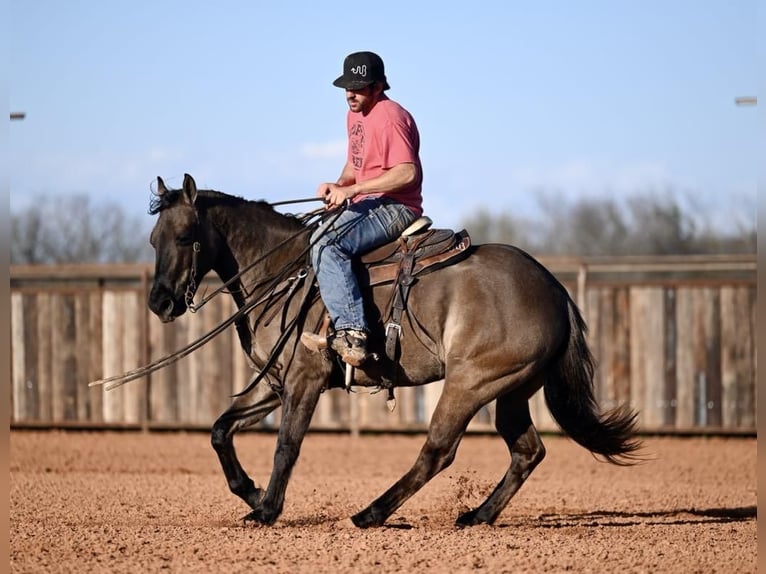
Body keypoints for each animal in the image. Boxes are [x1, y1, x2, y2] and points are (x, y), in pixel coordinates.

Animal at [146, 173, 640, 528]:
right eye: (154, 240)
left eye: (186, 237)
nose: (159, 303)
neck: (282, 272)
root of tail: (553, 286)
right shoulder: (275, 381)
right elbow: (220, 429)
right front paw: (250, 492)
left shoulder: (305, 378)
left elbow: (287, 444)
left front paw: (267, 510)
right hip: (512, 388)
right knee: (527, 451)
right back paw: (477, 515)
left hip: (470, 383)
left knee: (439, 450)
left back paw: (371, 513)